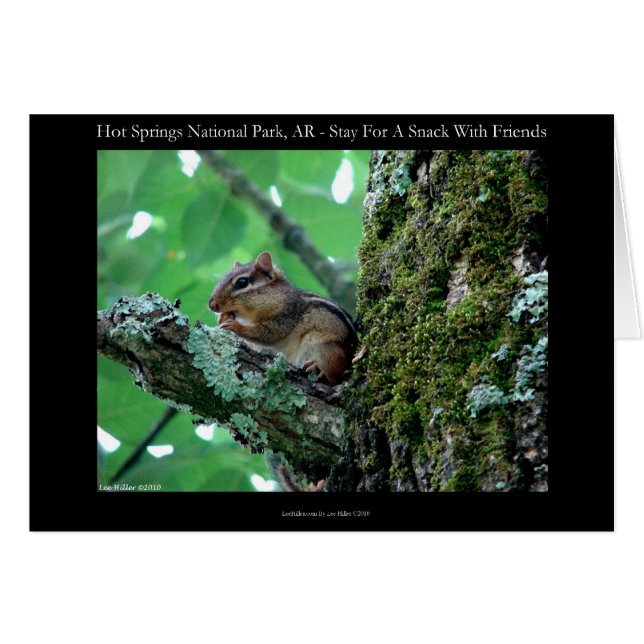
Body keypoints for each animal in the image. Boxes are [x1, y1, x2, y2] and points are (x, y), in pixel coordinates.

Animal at [208, 251, 357, 385]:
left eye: (242, 282)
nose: (211, 305)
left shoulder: (285, 316)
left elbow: (269, 333)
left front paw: (235, 326)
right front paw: (222, 317)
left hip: (324, 348)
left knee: (334, 376)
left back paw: (318, 368)